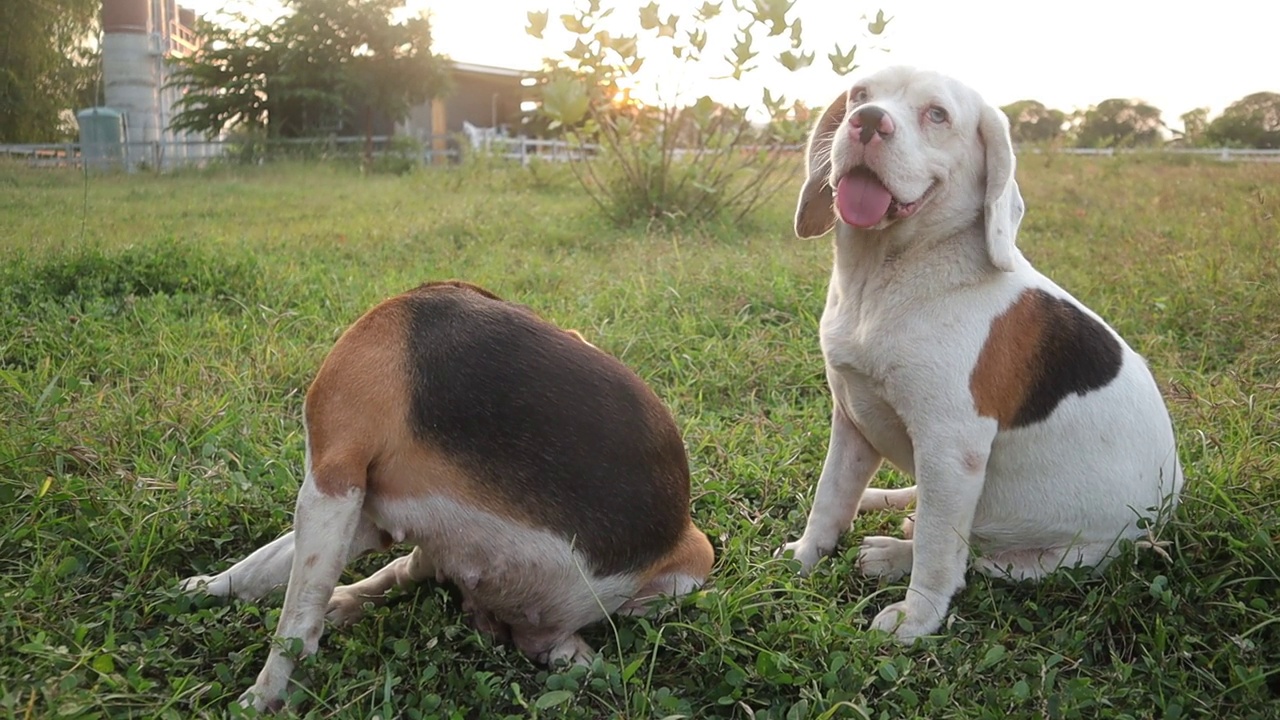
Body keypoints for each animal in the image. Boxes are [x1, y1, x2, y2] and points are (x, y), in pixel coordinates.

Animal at [773, 67, 1182, 638]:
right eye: (860, 96)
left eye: (937, 115)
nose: (867, 122)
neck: (885, 276)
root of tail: (1165, 514)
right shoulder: (851, 419)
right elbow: (829, 497)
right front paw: (805, 555)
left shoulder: (951, 448)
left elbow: (939, 549)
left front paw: (917, 617)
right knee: (925, 511)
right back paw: (883, 502)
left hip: (1054, 556)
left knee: (969, 554)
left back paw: (893, 554)